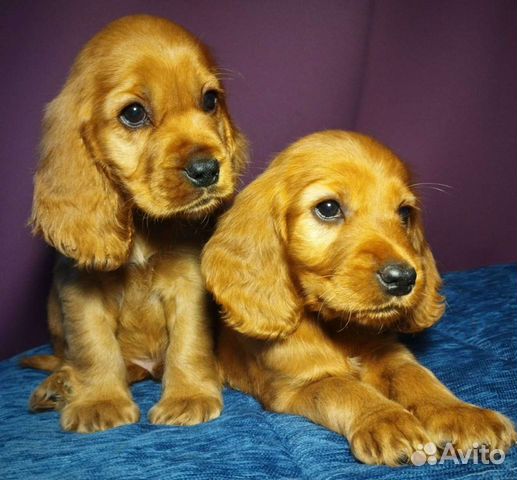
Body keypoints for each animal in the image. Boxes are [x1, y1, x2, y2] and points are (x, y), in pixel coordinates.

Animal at [23, 15, 248, 434]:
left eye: (210, 101)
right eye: (133, 113)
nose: (207, 170)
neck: (142, 225)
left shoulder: (188, 282)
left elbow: (188, 341)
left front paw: (188, 396)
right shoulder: (80, 291)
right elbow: (94, 347)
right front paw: (99, 402)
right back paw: (59, 385)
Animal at [203, 130, 516, 464]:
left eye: (405, 213)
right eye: (328, 208)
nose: (403, 279)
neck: (337, 327)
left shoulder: (390, 354)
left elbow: (417, 375)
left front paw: (460, 413)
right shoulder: (295, 386)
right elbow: (345, 389)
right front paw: (386, 420)